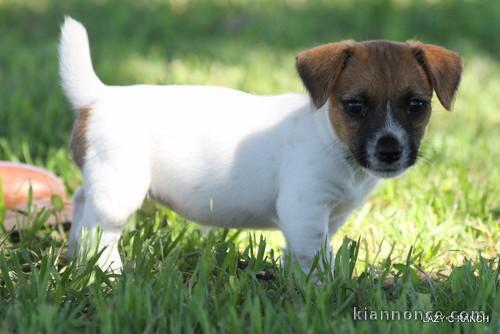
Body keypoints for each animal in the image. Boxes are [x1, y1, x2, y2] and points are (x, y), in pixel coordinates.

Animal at [60, 17, 462, 272]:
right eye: (355, 106)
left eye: (417, 105)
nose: (390, 151)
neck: (331, 138)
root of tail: (98, 96)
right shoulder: (304, 210)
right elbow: (315, 259)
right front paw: (322, 292)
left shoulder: (328, 217)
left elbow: (311, 253)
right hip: (119, 192)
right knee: (100, 233)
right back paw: (107, 273)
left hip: (103, 184)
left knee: (80, 206)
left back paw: (74, 259)